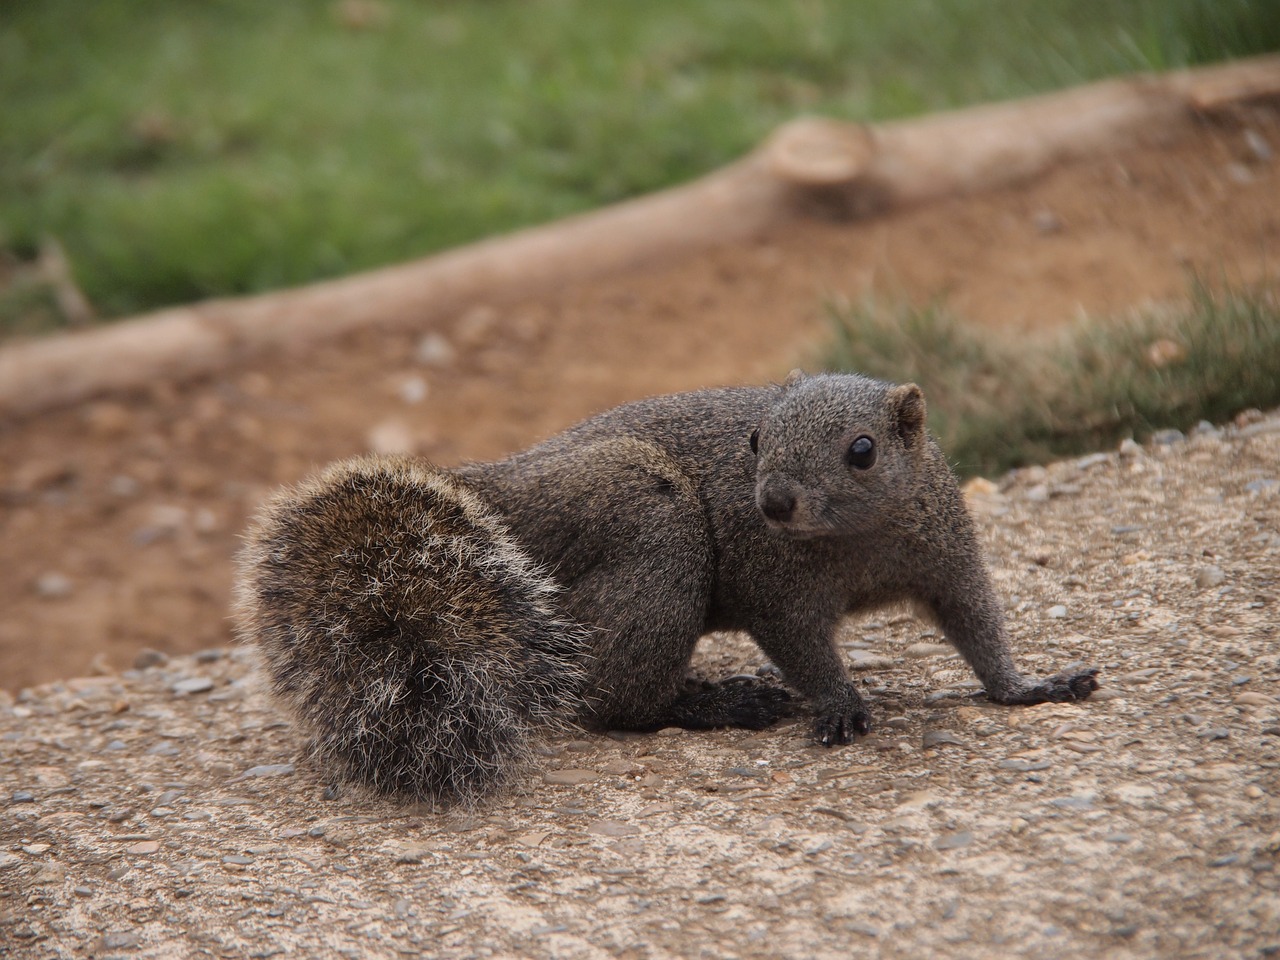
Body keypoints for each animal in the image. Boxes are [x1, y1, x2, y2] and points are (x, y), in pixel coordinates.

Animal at [235, 371, 1095, 808]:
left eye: (863, 450)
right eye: (754, 440)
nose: (772, 501)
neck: (857, 544)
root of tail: (508, 490)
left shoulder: (945, 557)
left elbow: (977, 624)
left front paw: (1029, 687)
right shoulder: (772, 583)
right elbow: (801, 646)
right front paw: (840, 702)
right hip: (651, 516)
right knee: (618, 704)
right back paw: (719, 703)